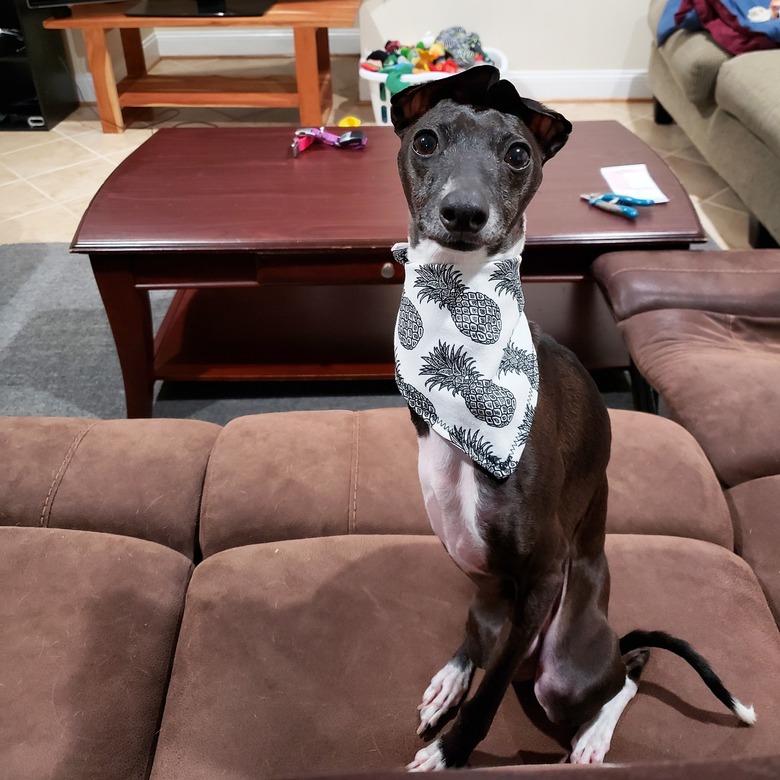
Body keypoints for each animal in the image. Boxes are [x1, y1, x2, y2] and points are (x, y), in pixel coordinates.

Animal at [390, 65, 756, 768]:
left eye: (517, 154)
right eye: (425, 140)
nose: (463, 213)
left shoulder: (541, 575)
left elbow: (490, 697)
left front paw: (453, 753)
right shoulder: (488, 580)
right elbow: (482, 659)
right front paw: (454, 697)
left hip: (567, 665)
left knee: (628, 673)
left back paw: (592, 736)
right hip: (492, 609)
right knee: (485, 641)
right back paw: (452, 676)